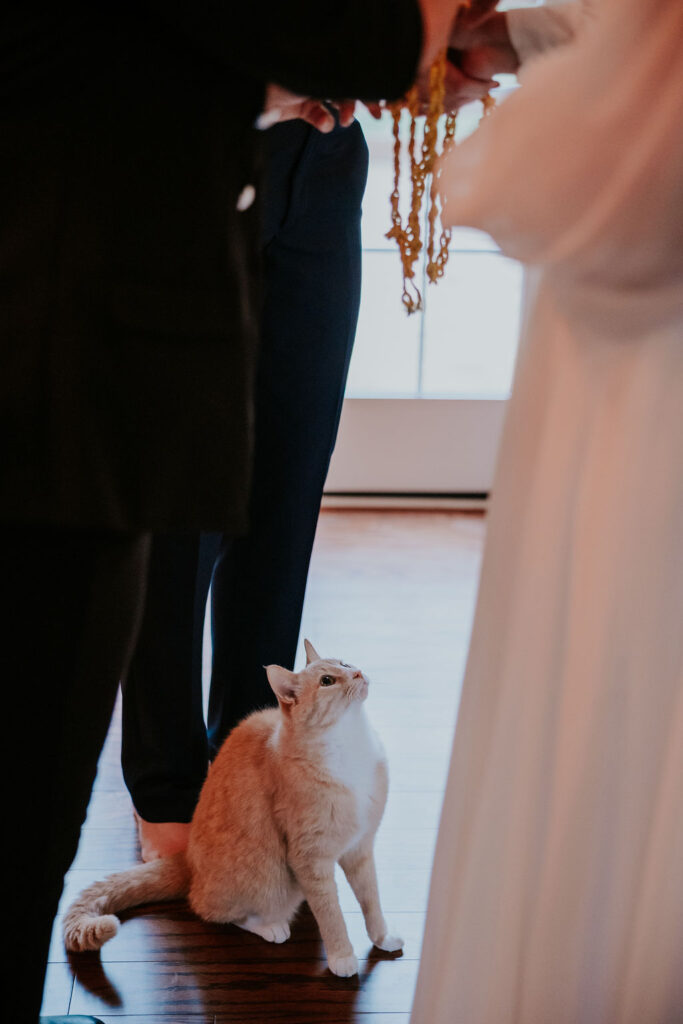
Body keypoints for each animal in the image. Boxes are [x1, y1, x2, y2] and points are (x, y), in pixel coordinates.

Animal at [62, 638, 403, 974]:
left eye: (344, 663)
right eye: (327, 681)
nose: (357, 672)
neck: (349, 743)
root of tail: (187, 857)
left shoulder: (361, 848)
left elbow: (371, 900)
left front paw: (381, 937)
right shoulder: (310, 858)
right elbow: (331, 913)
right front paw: (342, 957)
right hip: (269, 878)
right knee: (213, 910)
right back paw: (270, 926)